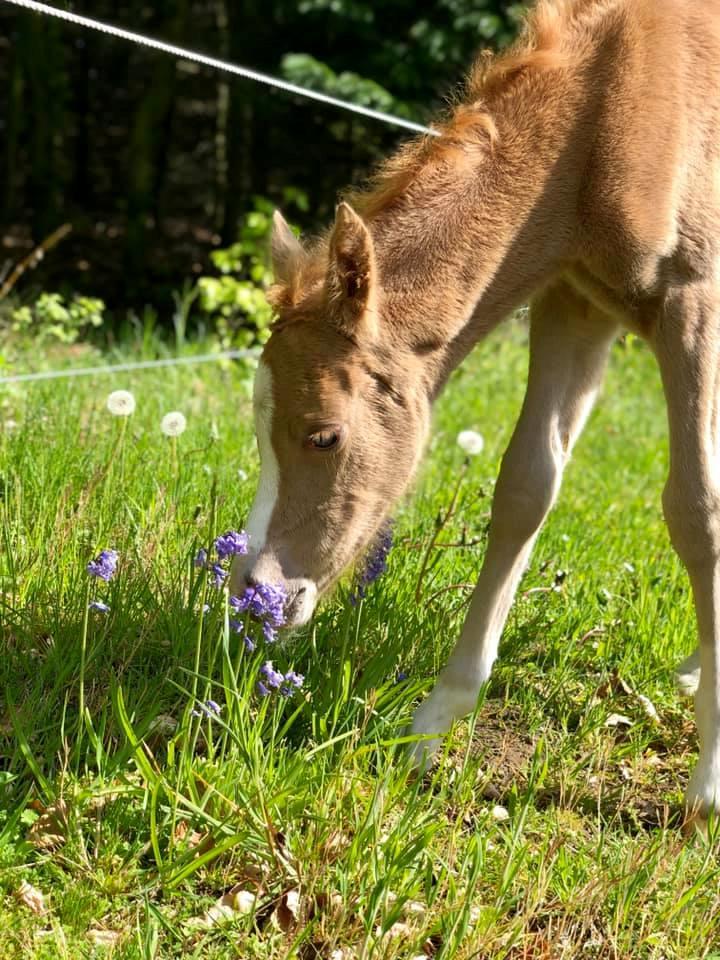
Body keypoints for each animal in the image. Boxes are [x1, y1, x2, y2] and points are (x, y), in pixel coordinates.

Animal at [233, 0, 720, 820]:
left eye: (324, 436)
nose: (254, 598)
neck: (609, 104)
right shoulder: (574, 303)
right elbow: (525, 488)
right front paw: (432, 725)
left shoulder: (694, 297)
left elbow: (696, 510)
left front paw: (710, 778)